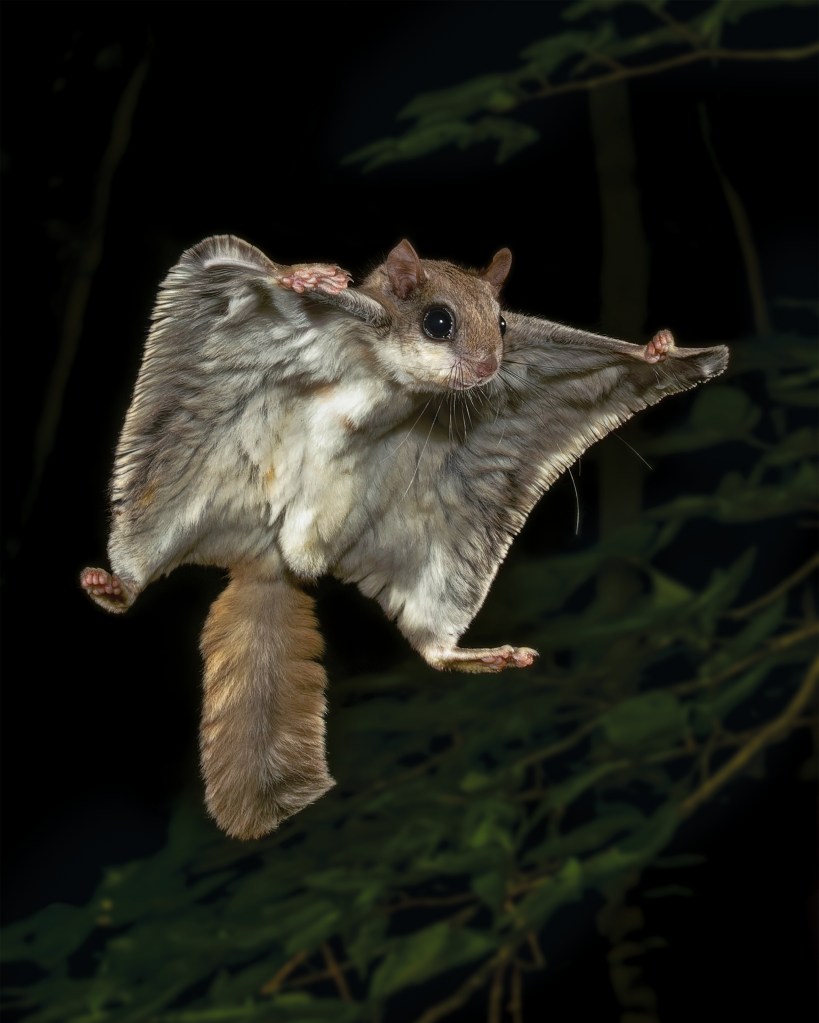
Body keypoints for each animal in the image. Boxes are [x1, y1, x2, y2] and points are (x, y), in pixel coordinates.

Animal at [81, 235, 729, 839]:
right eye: (439, 321)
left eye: (501, 322)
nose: (490, 369)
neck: (383, 370)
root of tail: (275, 562)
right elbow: (246, 264)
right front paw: (302, 275)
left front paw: (654, 351)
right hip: (178, 489)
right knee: (144, 554)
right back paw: (116, 586)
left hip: (441, 555)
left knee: (431, 646)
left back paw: (473, 654)